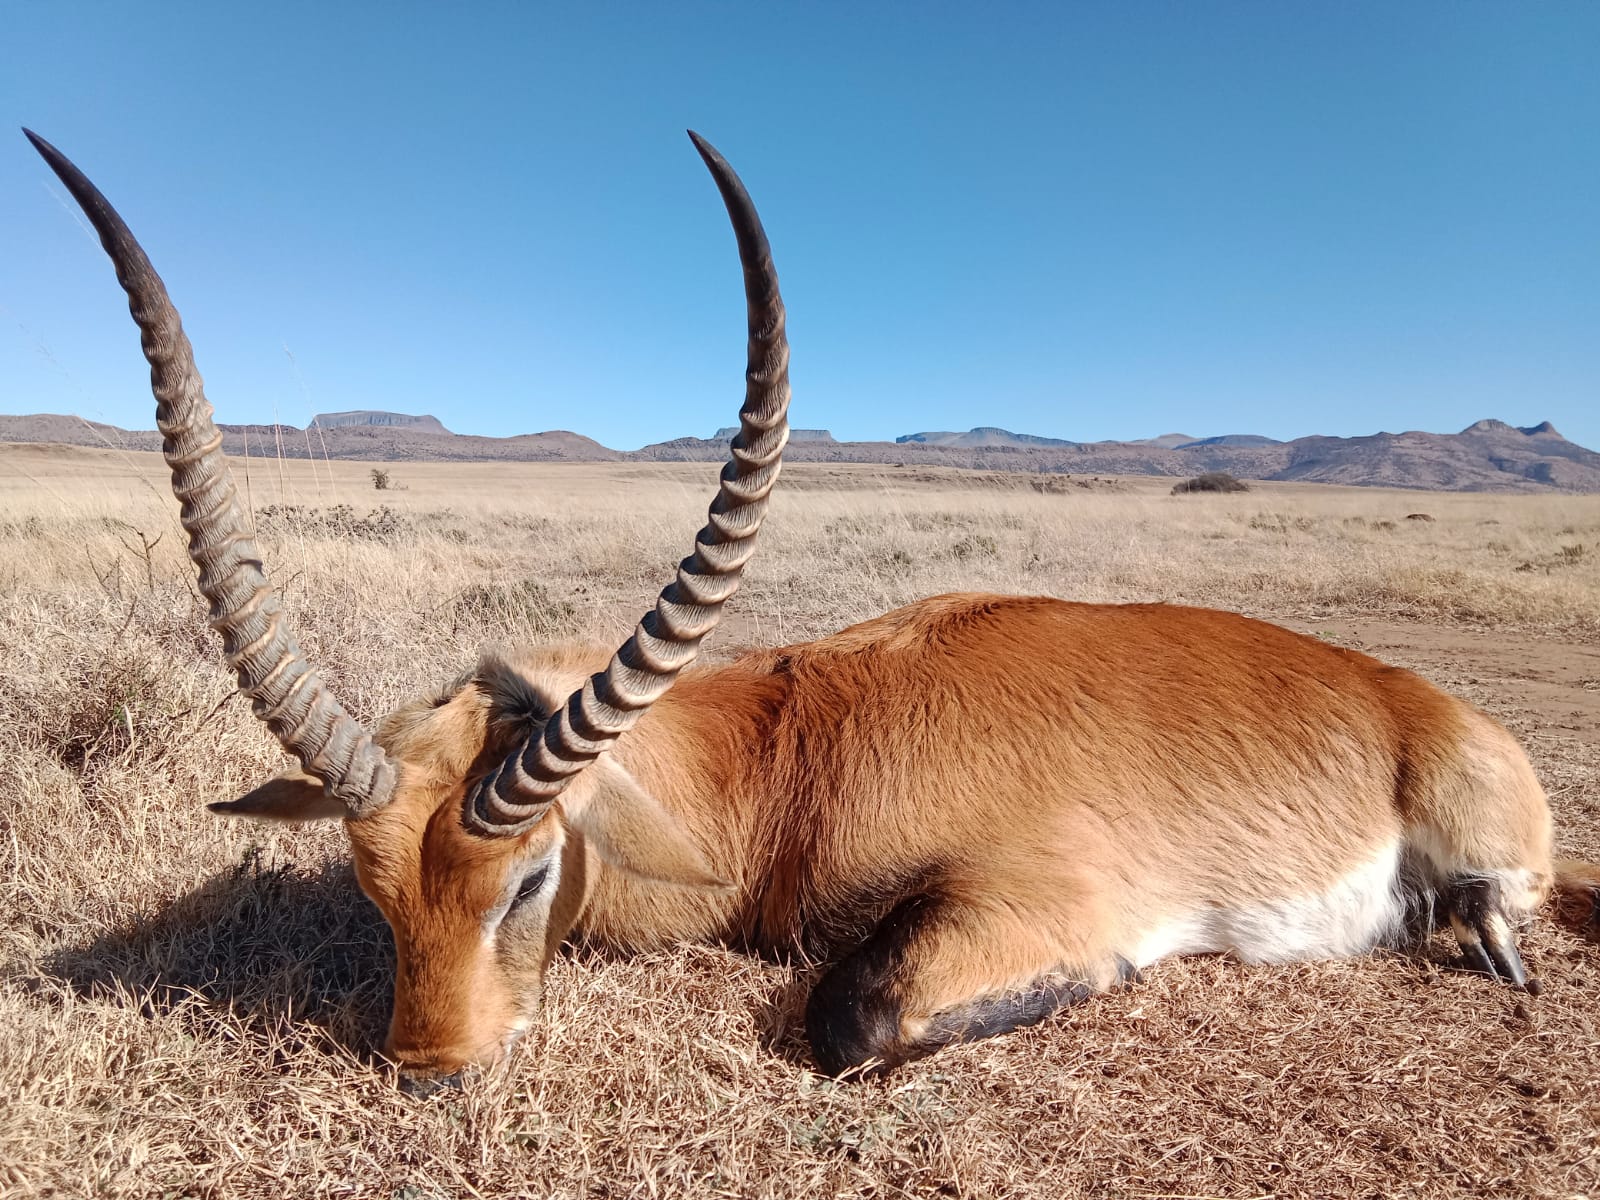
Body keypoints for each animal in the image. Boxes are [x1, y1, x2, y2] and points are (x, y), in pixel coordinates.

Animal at [26, 128, 1600, 1093]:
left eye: (525, 878)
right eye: (370, 888)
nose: (433, 1069)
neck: (790, 752)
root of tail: (1416, 699)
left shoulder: (1025, 897)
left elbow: (857, 1011)